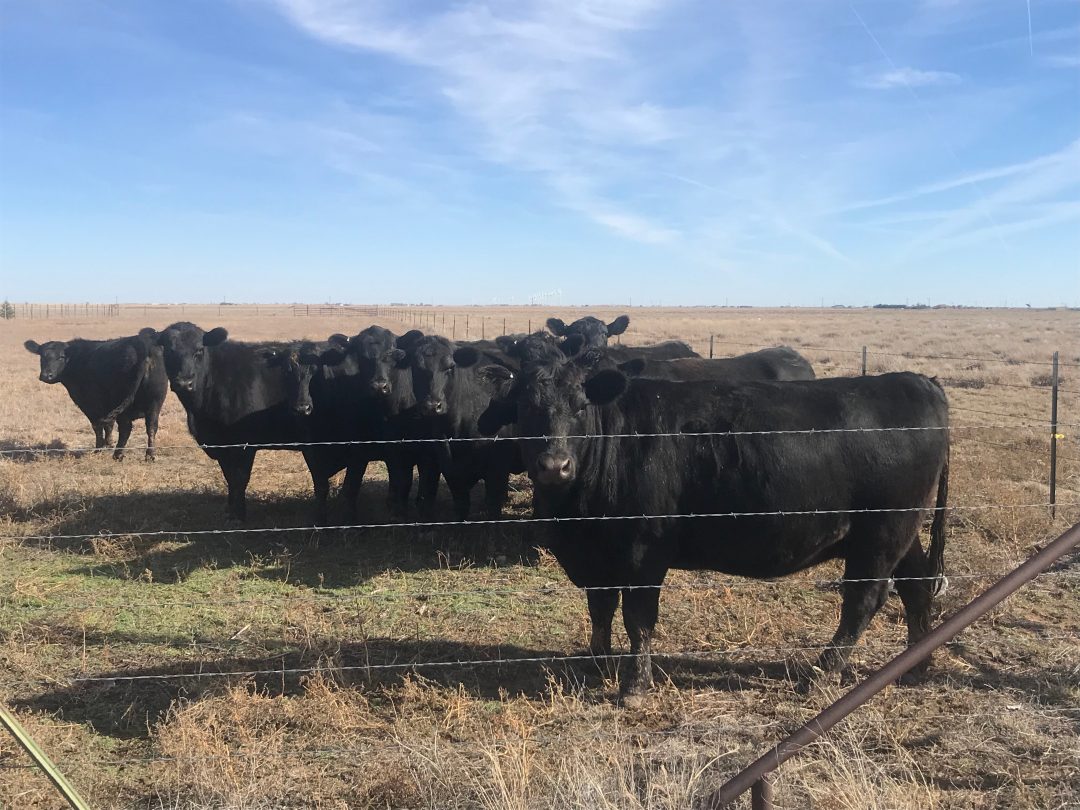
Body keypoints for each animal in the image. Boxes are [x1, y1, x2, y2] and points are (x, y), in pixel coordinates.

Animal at [24, 330, 168, 460]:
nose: (46, 376)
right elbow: (109, 425)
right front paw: (108, 444)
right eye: (42, 357)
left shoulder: (90, 404)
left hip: (123, 401)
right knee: (151, 426)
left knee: (126, 428)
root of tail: (142, 345)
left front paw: (99, 448)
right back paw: (149, 455)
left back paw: (118, 455)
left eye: (61, 357)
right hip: (155, 401)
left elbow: (98, 426)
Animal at [480, 353, 950, 705]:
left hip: (881, 534)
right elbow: (600, 608)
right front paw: (596, 660)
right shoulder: (597, 557)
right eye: (525, 407)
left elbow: (638, 619)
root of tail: (916, 382)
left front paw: (634, 686)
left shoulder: (643, 553)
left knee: (864, 599)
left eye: (581, 405)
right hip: (901, 533)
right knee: (916, 585)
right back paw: (916, 663)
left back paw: (821, 673)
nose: (553, 465)